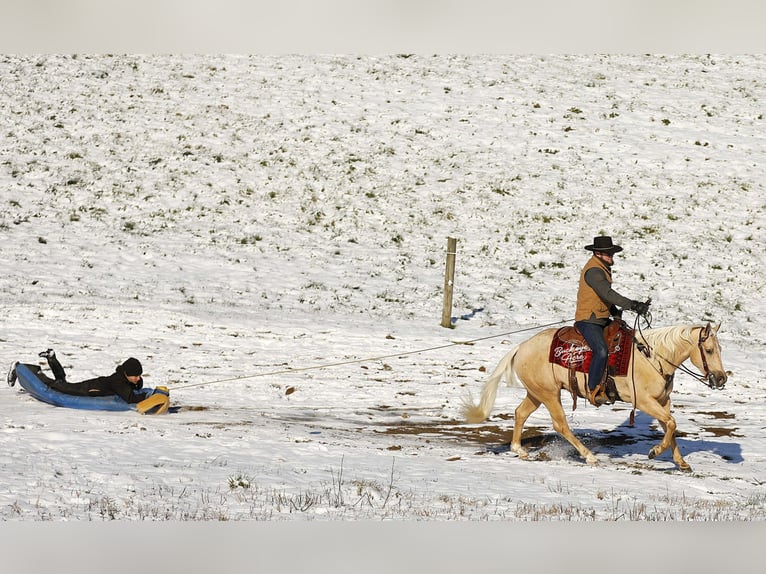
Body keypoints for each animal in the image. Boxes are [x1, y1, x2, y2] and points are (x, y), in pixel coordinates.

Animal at [462, 322, 727, 471]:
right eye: (709, 350)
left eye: (720, 349)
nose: (721, 378)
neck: (652, 357)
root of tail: (522, 347)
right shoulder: (643, 402)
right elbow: (671, 424)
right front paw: (654, 452)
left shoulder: (662, 401)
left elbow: (670, 426)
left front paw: (681, 462)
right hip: (549, 394)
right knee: (560, 424)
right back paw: (589, 456)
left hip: (536, 393)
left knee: (520, 413)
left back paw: (519, 450)